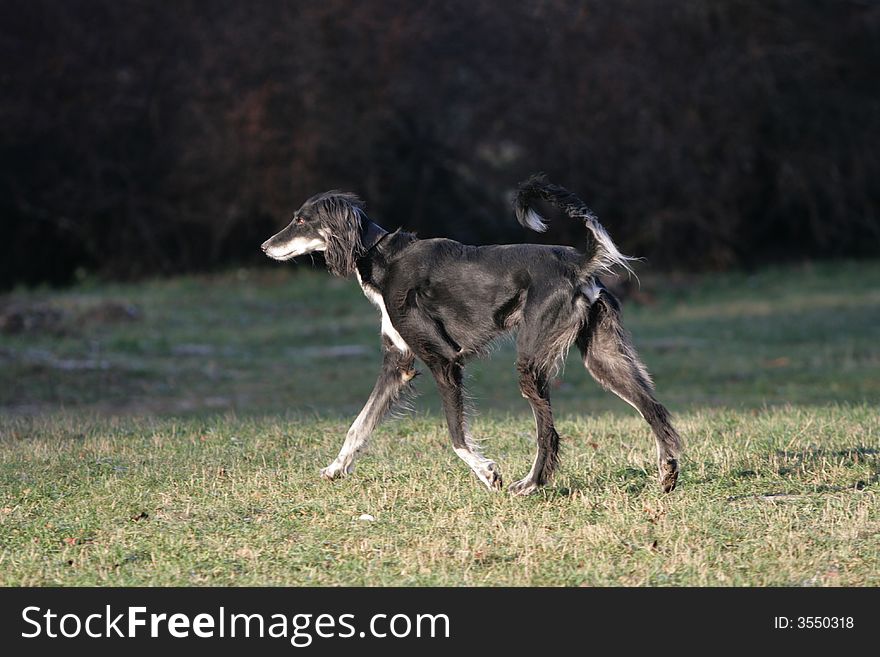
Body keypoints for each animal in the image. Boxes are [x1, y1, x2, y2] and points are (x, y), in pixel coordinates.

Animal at [262, 174, 680, 492]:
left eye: (302, 220)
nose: (265, 246)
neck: (382, 258)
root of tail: (579, 262)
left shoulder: (444, 361)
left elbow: (456, 436)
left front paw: (486, 472)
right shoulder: (398, 363)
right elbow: (359, 424)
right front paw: (336, 468)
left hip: (531, 362)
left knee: (549, 433)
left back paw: (530, 484)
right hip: (603, 357)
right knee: (654, 409)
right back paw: (668, 473)